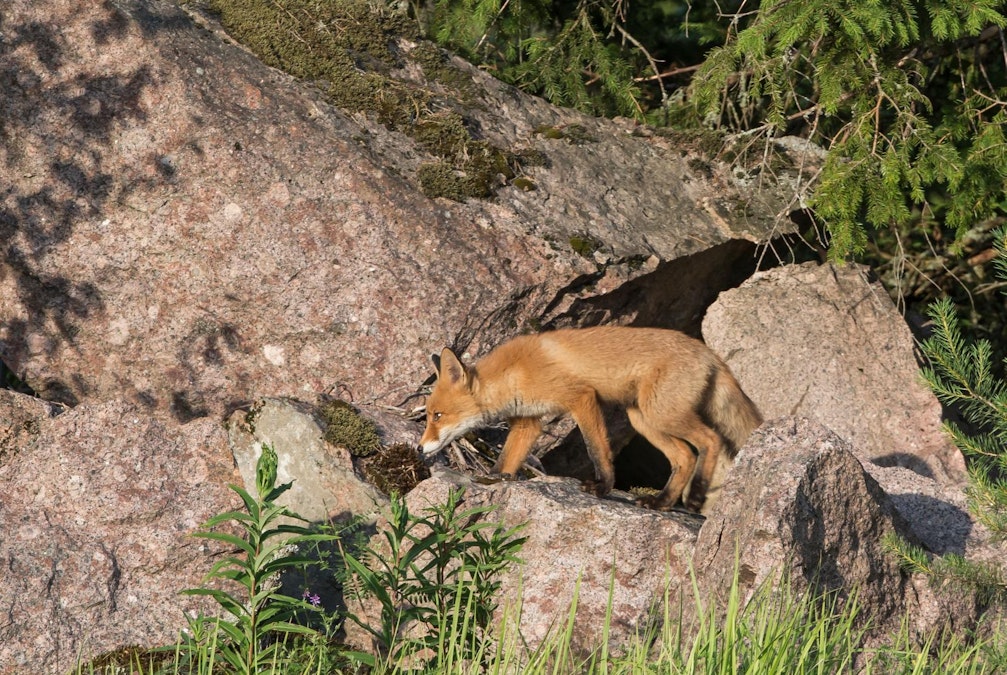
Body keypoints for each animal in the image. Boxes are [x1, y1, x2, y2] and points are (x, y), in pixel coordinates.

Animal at [418, 328, 761, 513]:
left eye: (437, 415)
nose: (420, 449)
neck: (514, 374)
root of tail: (709, 352)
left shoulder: (582, 398)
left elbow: (597, 449)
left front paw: (603, 486)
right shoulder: (529, 422)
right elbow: (505, 463)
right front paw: (492, 483)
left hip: (662, 415)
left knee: (711, 440)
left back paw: (696, 497)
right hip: (643, 420)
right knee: (685, 456)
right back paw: (662, 502)